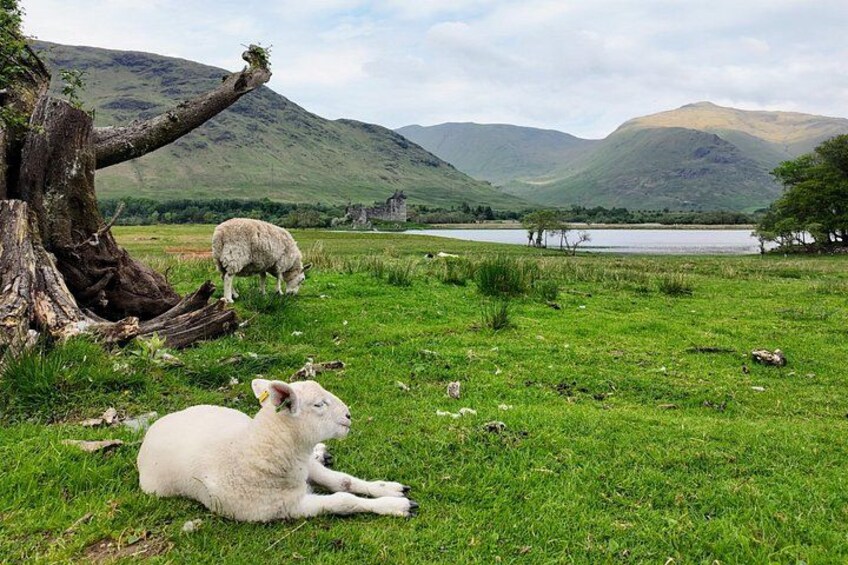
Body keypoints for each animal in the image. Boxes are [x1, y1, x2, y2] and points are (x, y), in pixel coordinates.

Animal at [137, 378, 418, 522]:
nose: (348, 416)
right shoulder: (289, 508)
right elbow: (343, 500)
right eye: (318, 405)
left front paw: (389, 489)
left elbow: (343, 481)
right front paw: (397, 505)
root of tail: (156, 425)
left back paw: (321, 451)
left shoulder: (304, 466)